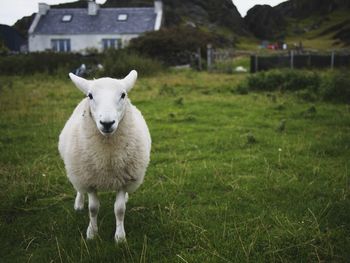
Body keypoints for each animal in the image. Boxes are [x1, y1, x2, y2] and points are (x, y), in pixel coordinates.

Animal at [58, 70, 151, 243]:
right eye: (90, 95)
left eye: (123, 95)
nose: (107, 123)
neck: (107, 158)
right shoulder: (89, 180)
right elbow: (93, 208)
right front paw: (92, 233)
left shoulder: (123, 180)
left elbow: (119, 209)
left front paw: (120, 237)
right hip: (77, 171)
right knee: (79, 189)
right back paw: (78, 204)